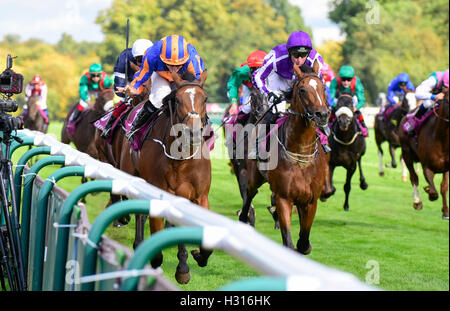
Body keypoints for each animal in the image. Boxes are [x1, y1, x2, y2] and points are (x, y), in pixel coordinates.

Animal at [97, 71, 210, 286]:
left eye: (205, 99)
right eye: (177, 99)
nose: (193, 132)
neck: (181, 158)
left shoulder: (199, 197)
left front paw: (188, 263)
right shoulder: (158, 193)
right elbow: (156, 250)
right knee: (138, 212)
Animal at [239, 61, 330, 256]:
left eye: (323, 87)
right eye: (302, 90)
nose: (322, 115)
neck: (301, 155)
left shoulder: (310, 201)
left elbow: (304, 244)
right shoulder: (284, 198)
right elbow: (288, 242)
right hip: (255, 176)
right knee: (250, 193)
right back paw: (244, 217)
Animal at [400, 88, 448, 219]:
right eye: (448, 100)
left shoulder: (448, 168)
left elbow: (443, 187)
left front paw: (445, 212)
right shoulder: (427, 166)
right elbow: (433, 191)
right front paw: (429, 192)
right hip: (407, 153)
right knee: (414, 177)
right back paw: (417, 201)